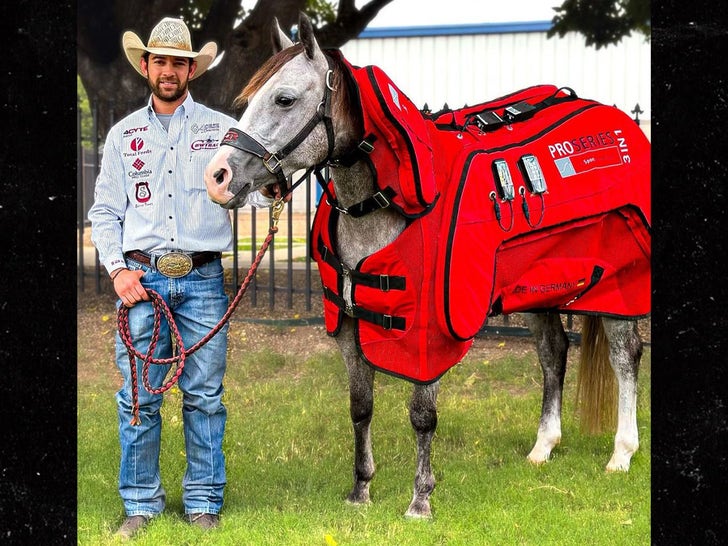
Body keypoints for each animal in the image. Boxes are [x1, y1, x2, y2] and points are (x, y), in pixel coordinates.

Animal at [203, 13, 648, 518]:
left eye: (285, 98)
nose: (218, 177)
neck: (385, 205)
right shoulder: (350, 328)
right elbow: (361, 406)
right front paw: (361, 490)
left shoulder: (427, 337)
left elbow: (422, 415)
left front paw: (420, 499)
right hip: (539, 290)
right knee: (553, 354)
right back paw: (543, 446)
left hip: (616, 288)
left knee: (624, 358)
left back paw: (621, 453)